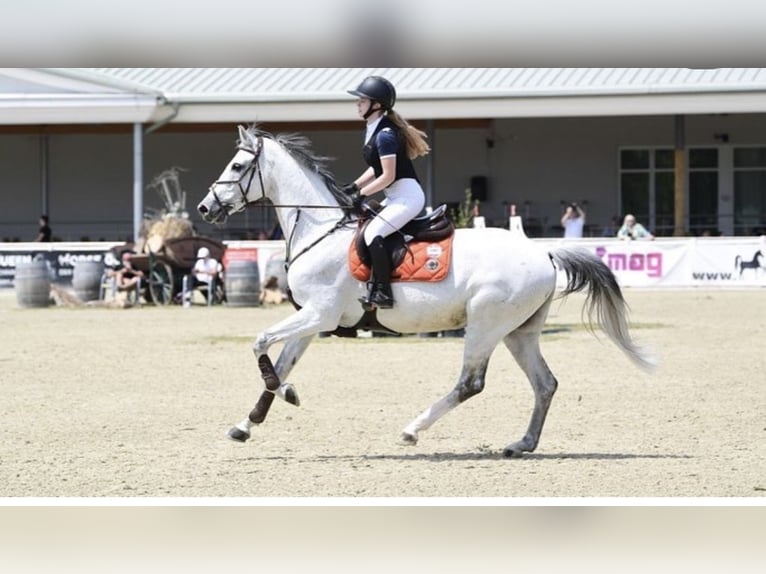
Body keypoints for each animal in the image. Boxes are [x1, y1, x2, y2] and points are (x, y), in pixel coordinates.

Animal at [196, 126, 656, 460]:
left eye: (237, 165)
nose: (204, 208)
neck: (319, 231)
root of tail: (543, 252)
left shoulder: (318, 315)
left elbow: (261, 344)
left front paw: (286, 394)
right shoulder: (311, 319)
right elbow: (279, 363)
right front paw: (247, 424)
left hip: (486, 325)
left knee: (471, 383)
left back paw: (412, 429)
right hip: (518, 332)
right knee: (545, 384)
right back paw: (521, 444)